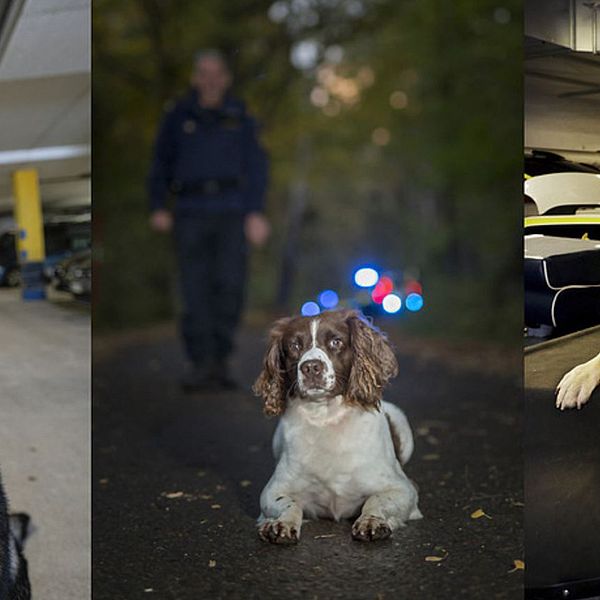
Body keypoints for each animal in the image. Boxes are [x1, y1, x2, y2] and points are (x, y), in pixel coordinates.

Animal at [253, 310, 422, 544]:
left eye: (336, 342)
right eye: (294, 345)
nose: (310, 367)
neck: (326, 417)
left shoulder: (404, 489)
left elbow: (377, 500)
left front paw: (372, 521)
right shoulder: (273, 490)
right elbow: (288, 503)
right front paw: (281, 524)